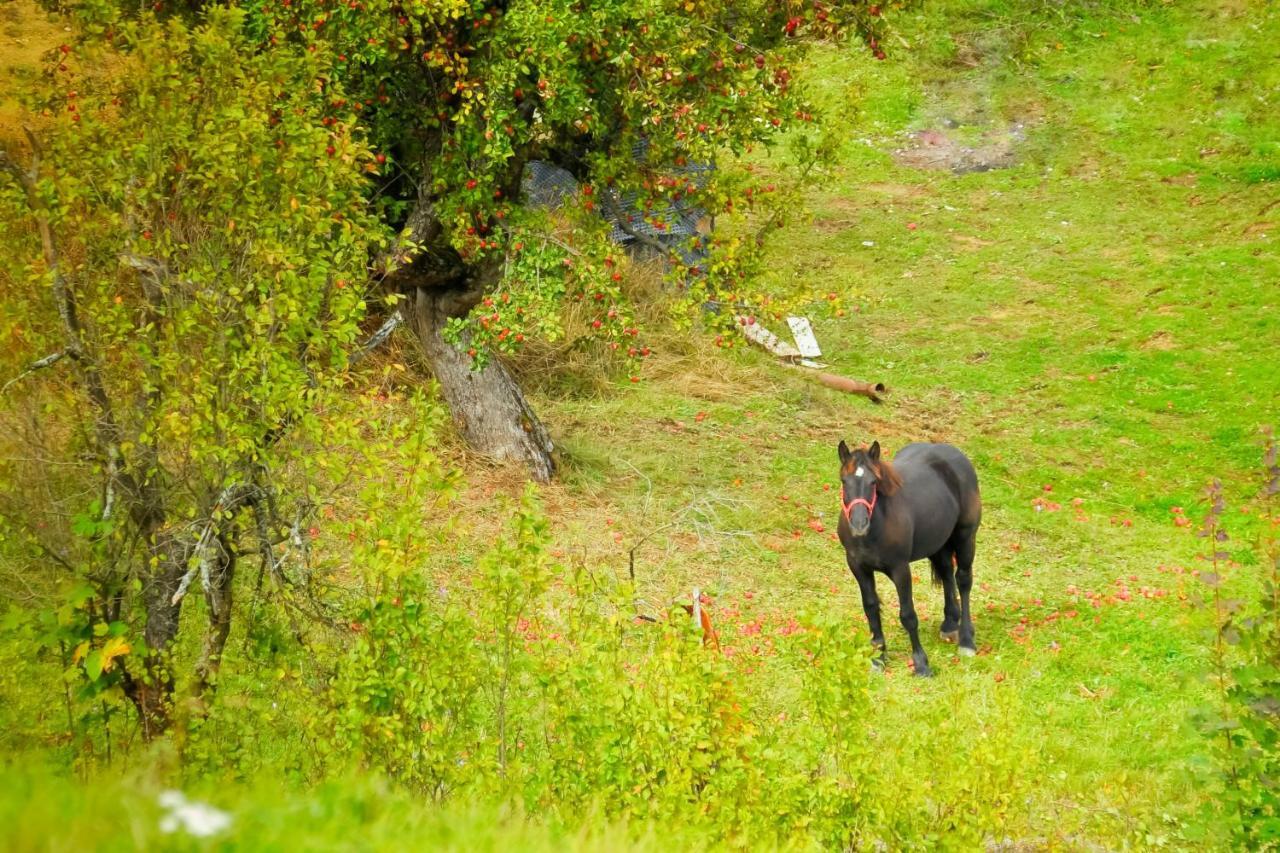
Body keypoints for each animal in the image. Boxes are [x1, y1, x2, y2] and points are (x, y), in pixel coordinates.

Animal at [839, 438, 977, 671]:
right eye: (844, 481)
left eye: (873, 482)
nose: (859, 524)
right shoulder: (858, 567)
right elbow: (871, 608)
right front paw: (878, 657)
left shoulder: (900, 569)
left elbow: (908, 614)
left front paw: (921, 663)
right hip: (938, 544)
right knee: (947, 574)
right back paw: (950, 623)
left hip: (965, 536)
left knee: (963, 580)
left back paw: (967, 640)